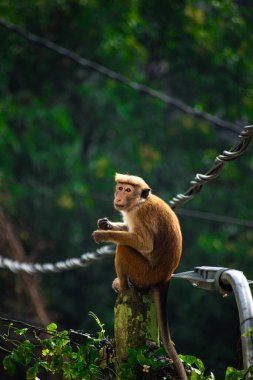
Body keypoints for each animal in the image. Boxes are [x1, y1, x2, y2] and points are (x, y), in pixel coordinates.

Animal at [92, 174, 187, 378]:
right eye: (120, 187)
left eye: (128, 190)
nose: (119, 196)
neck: (139, 202)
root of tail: (166, 277)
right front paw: (106, 224)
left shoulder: (141, 214)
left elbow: (144, 244)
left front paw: (104, 234)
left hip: (144, 274)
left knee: (123, 248)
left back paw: (123, 287)